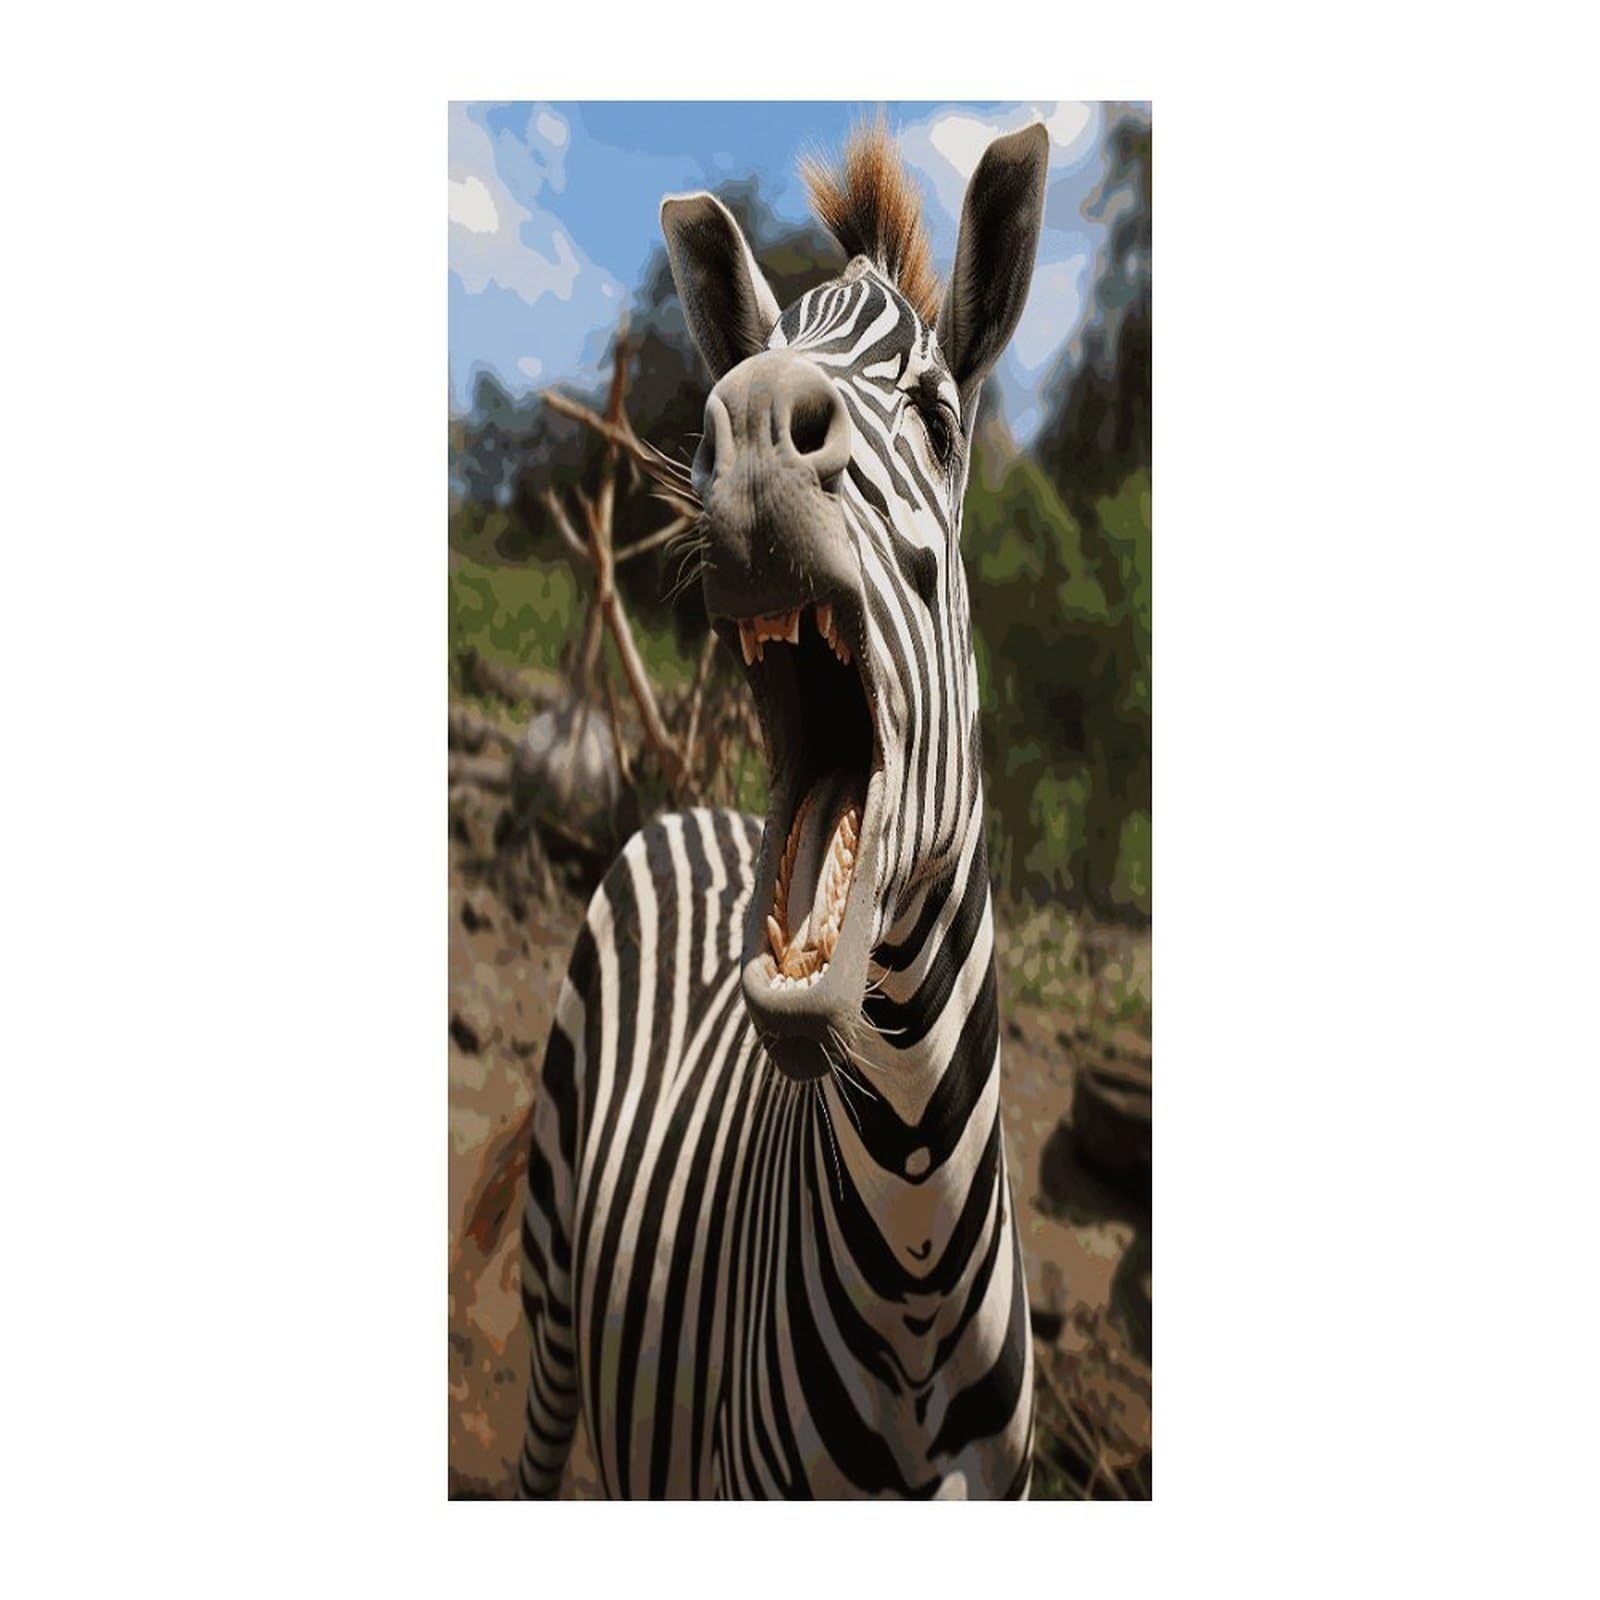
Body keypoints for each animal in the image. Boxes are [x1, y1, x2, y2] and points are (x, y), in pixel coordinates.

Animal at [518, 120, 1051, 1499]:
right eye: (747, 384)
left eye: (936, 417)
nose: (752, 416)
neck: (914, 1273)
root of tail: (692, 815)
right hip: (550, 1282)